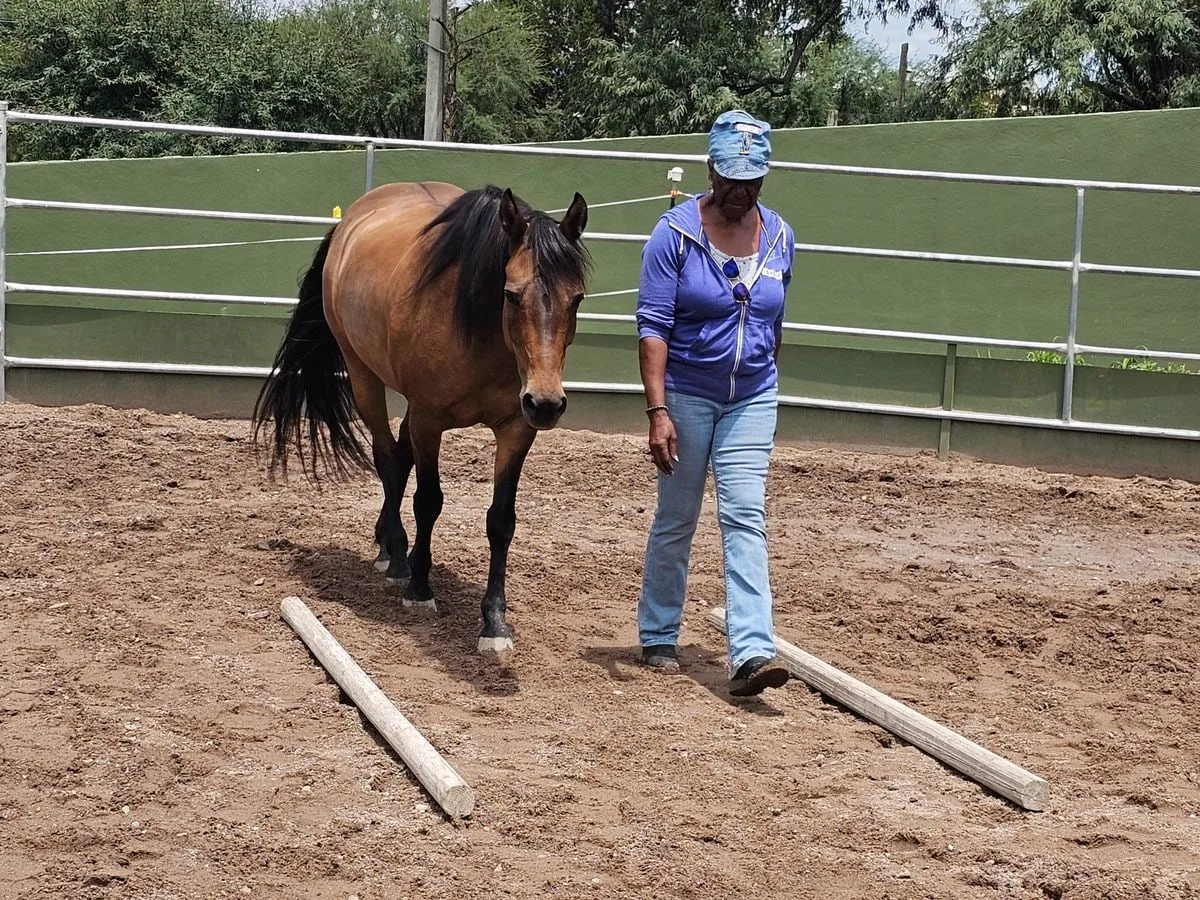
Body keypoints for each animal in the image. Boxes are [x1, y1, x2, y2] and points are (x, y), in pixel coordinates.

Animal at [251, 181, 590, 660]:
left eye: (576, 298)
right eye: (510, 294)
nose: (546, 403)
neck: (480, 333)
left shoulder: (517, 429)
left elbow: (501, 520)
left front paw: (494, 622)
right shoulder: (430, 422)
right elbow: (428, 500)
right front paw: (419, 588)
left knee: (399, 455)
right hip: (363, 376)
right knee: (387, 458)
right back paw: (395, 555)